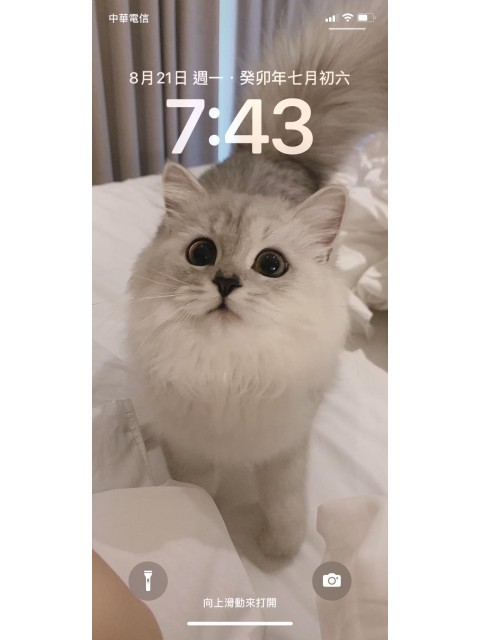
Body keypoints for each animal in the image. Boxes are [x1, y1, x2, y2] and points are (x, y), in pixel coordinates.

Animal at [128, 0, 387, 558]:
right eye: (201, 253)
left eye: (271, 265)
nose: (226, 282)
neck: (230, 371)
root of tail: (274, 152)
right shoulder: (191, 447)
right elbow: (200, 493)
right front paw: (217, 525)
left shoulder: (286, 445)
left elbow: (286, 505)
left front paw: (276, 549)